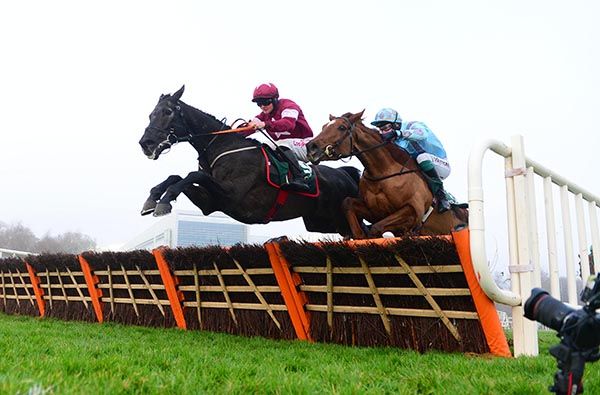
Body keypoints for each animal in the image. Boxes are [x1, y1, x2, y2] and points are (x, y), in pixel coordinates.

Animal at [138, 86, 358, 237]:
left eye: (168, 112)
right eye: (150, 114)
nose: (146, 143)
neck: (221, 145)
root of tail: (344, 173)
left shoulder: (233, 195)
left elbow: (193, 175)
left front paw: (163, 202)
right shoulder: (211, 203)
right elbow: (177, 177)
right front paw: (153, 199)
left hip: (339, 216)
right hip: (321, 222)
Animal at [304, 111, 468, 241]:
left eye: (341, 127)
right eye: (324, 126)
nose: (311, 147)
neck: (383, 173)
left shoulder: (412, 211)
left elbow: (377, 228)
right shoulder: (374, 212)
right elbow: (348, 203)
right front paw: (359, 235)